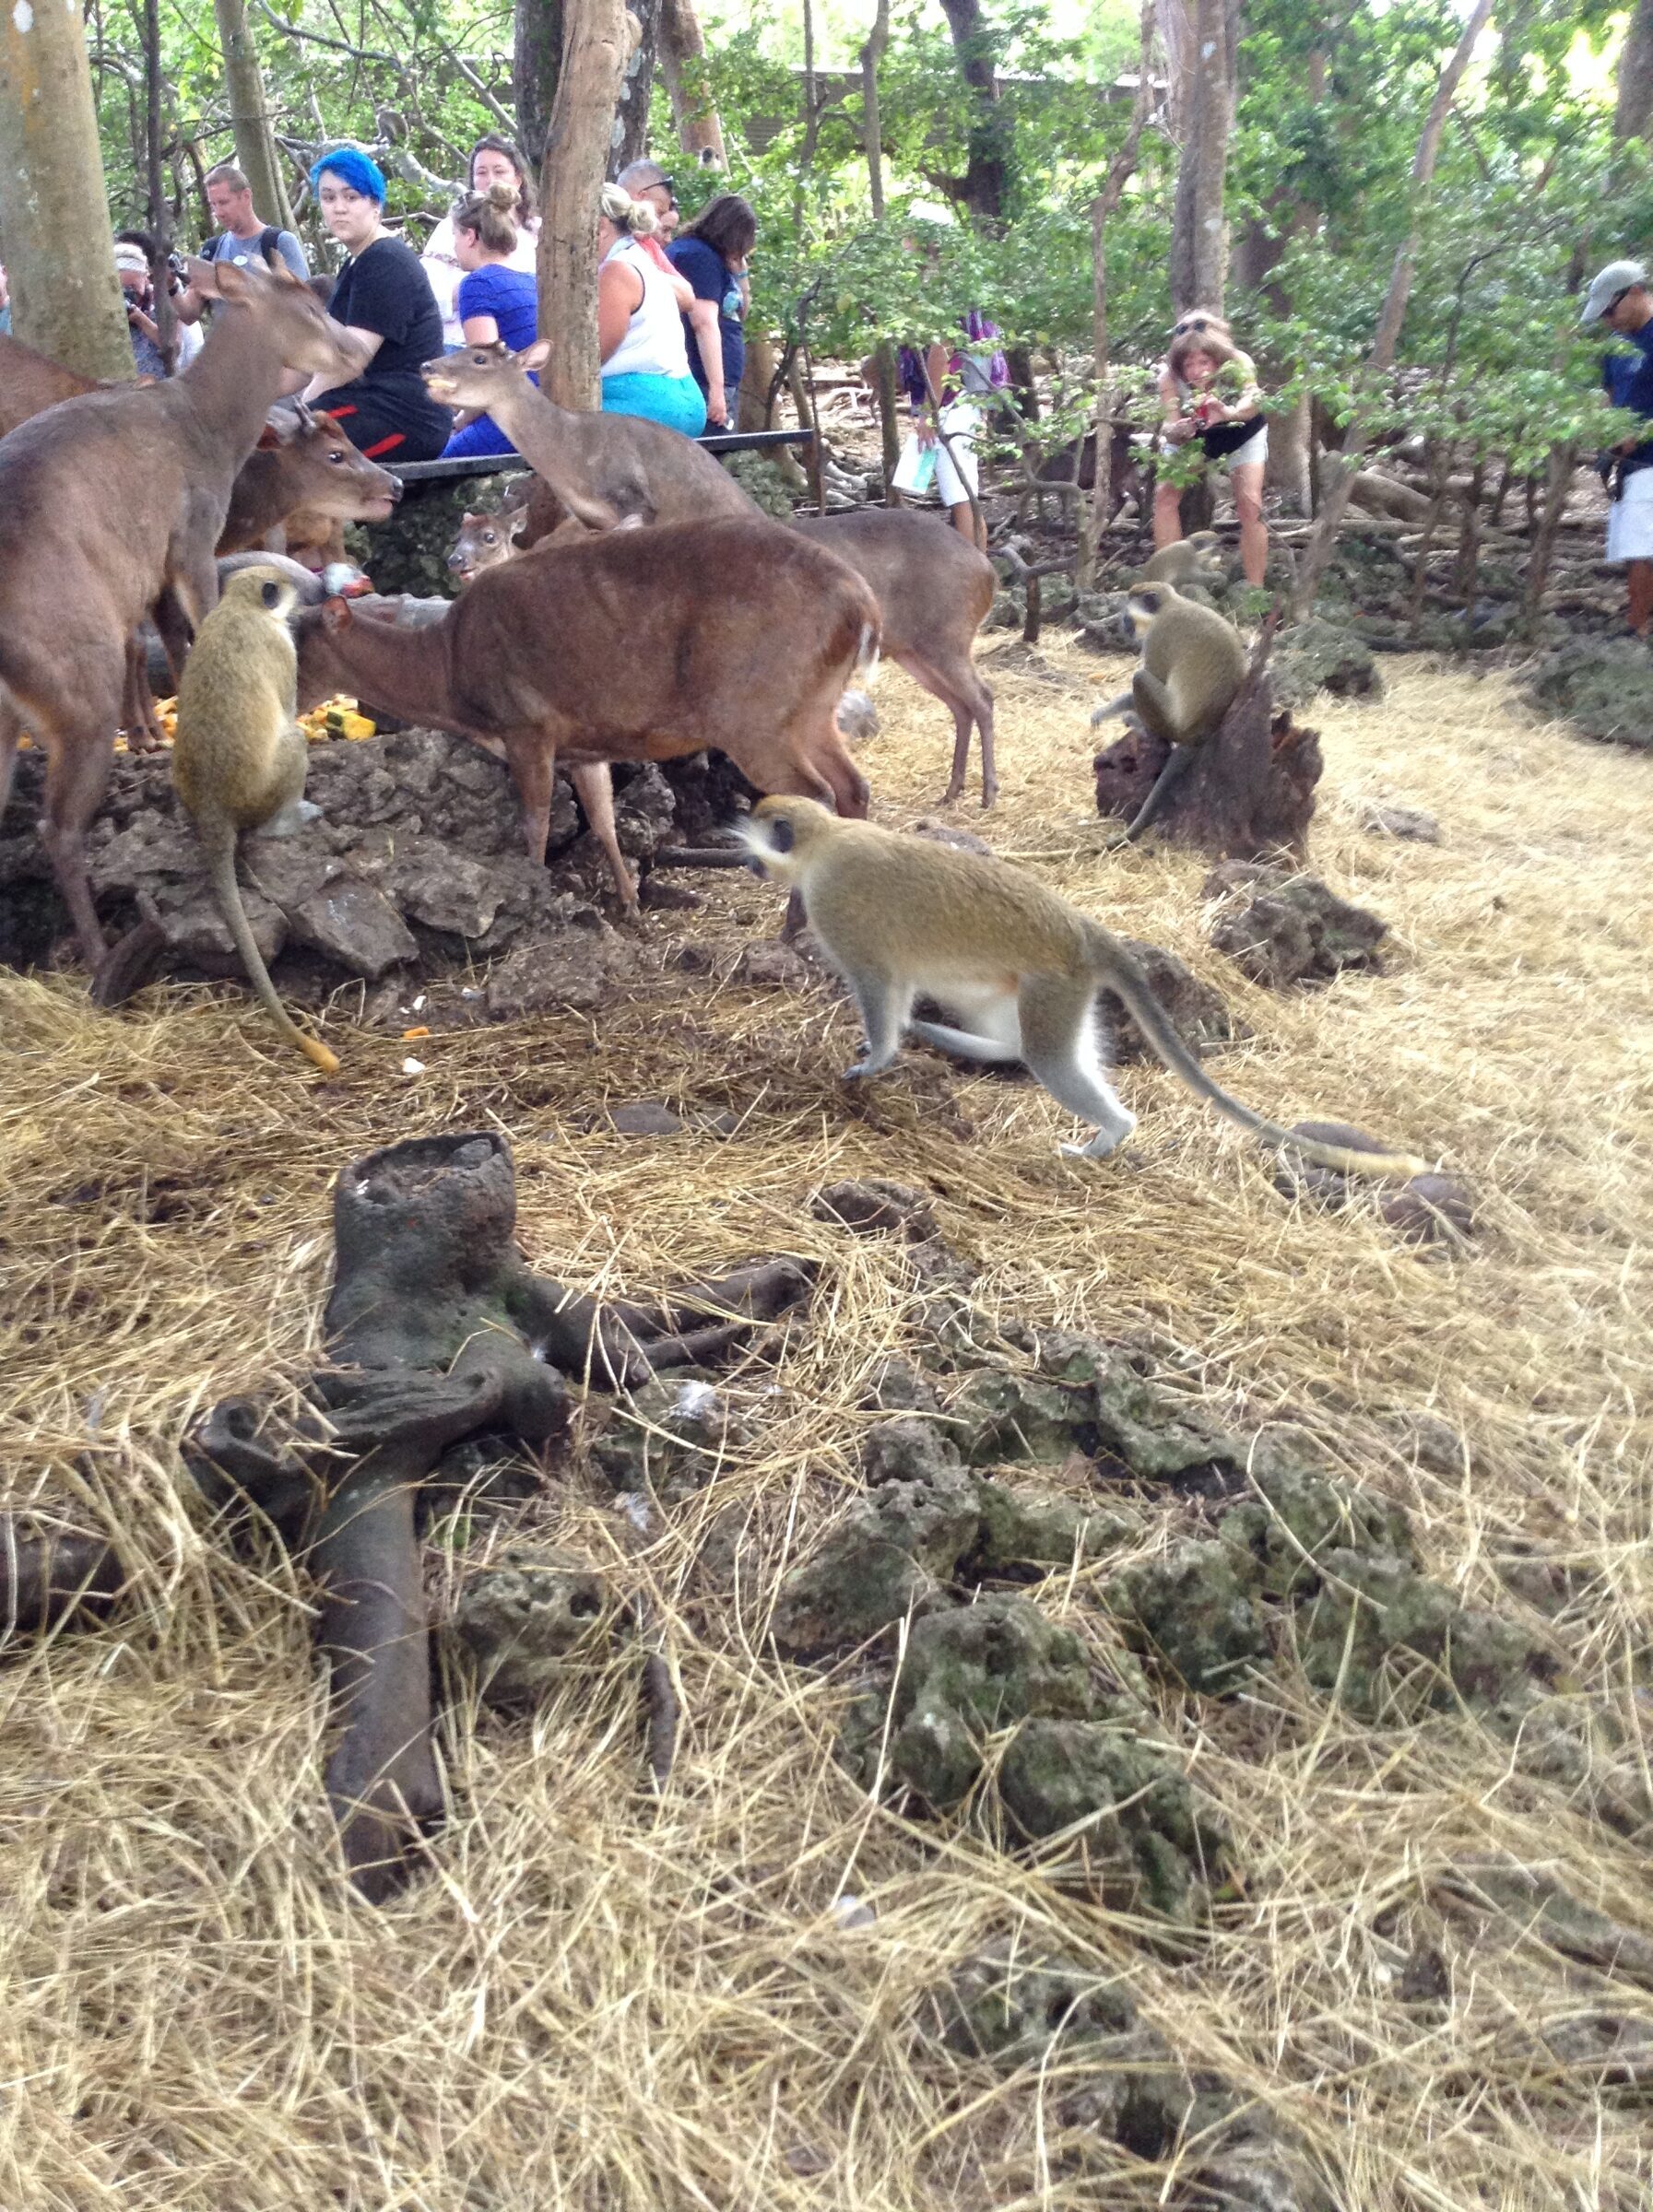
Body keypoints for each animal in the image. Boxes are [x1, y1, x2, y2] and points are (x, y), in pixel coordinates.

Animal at [0, 258, 371, 972]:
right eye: (310, 306)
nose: (357, 350)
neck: (209, 435)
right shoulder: (193, 535)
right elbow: (197, 632)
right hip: (76, 691)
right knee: (56, 825)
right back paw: (100, 954)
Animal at [171, 566, 340, 1073]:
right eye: (288, 589)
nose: (309, 600)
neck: (238, 607)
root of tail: (212, 808)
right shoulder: (280, 646)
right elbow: (290, 707)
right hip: (264, 788)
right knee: (293, 743)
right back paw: (286, 819)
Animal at [294, 516, 879, 913]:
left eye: (295, 644)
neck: (451, 676)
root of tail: (861, 603)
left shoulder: (526, 722)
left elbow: (536, 820)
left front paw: (533, 899)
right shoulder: (583, 743)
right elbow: (602, 819)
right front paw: (630, 905)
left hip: (753, 708)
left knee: (818, 794)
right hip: (812, 706)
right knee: (853, 786)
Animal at [738, 797, 1428, 1180]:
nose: (745, 858)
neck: (826, 839)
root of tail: (1080, 928)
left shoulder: (838, 911)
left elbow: (880, 987)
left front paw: (875, 1059)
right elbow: (902, 987)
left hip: (1054, 981)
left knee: (1048, 1058)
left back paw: (1110, 1134)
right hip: (1060, 989)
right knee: (1028, 1039)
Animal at [1089, 582, 1249, 846]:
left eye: (1128, 614)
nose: (1123, 624)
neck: (1171, 604)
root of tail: (1200, 733)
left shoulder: (1158, 635)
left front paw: (1106, 711)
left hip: (1170, 723)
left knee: (1140, 679)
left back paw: (1142, 726)